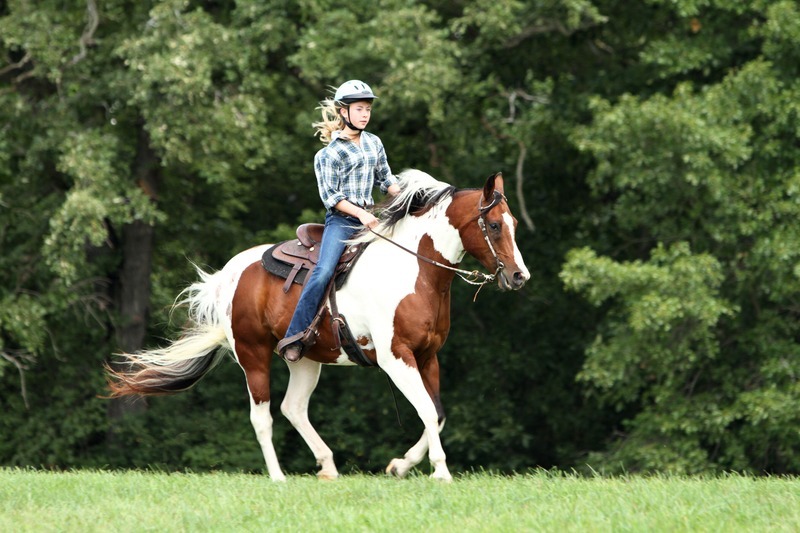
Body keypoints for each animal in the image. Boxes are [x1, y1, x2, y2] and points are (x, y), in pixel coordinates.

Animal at [106, 169, 530, 482]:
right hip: (252, 354)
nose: (519, 276)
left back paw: (327, 466)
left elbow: (437, 414)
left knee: (293, 407)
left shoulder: (428, 356)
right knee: (262, 416)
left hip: (305, 359)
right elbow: (426, 409)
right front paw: (439, 472)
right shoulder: (396, 357)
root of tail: (228, 276)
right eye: (494, 225)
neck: (415, 270)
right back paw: (278, 477)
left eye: (513, 223)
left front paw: (400, 466)